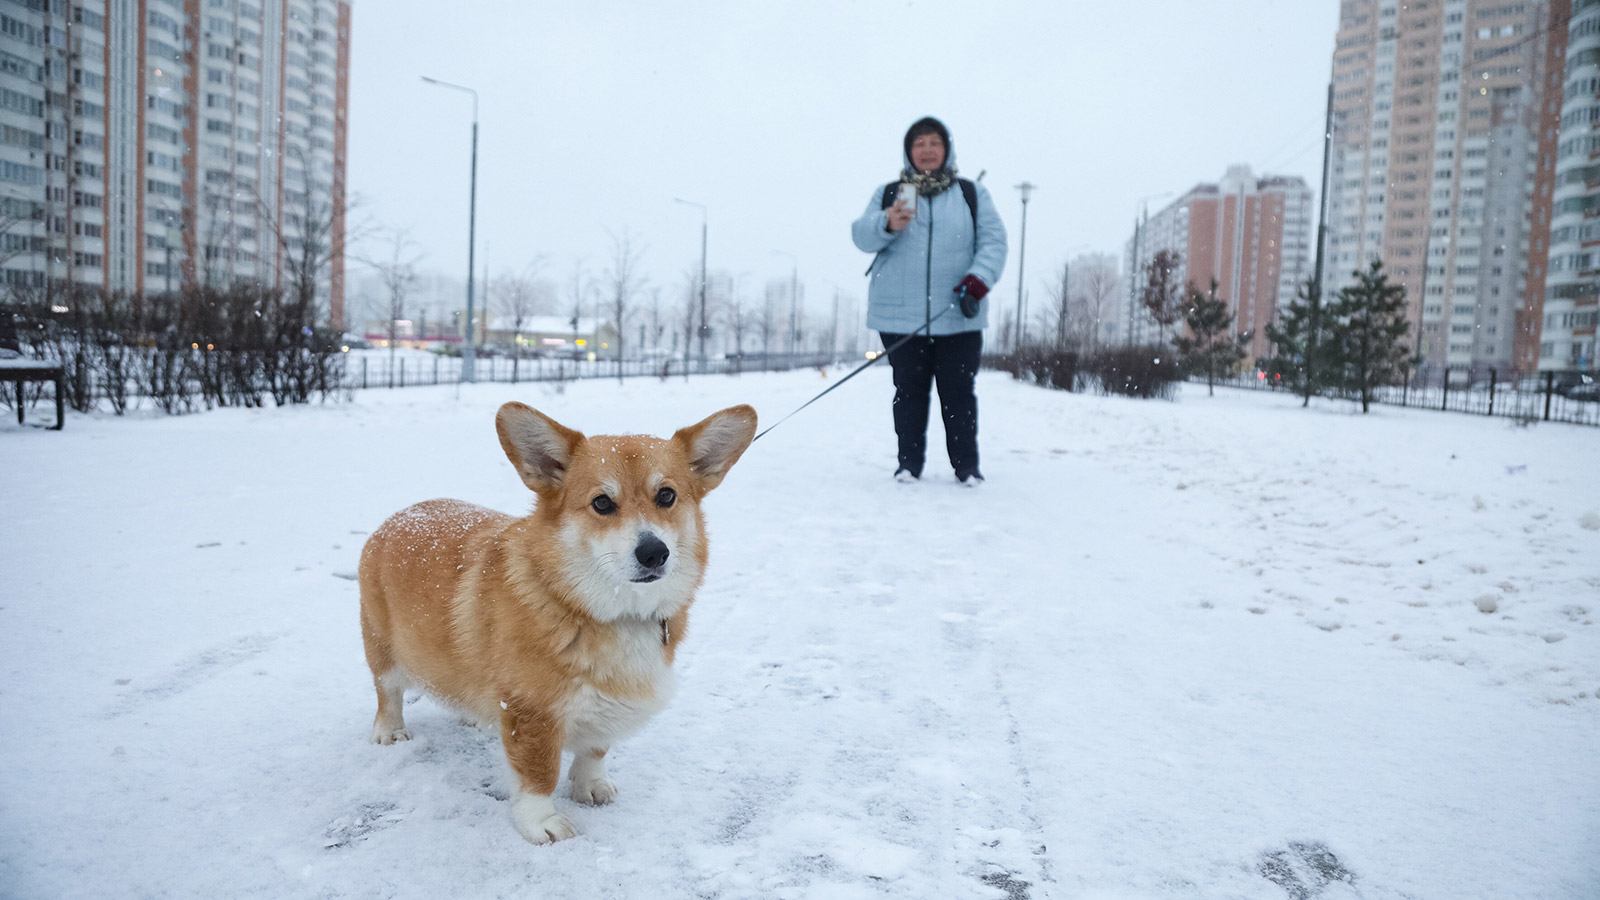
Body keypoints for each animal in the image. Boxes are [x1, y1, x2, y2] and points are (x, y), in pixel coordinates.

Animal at [360, 398, 758, 839]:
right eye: (602, 503)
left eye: (667, 495)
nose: (654, 553)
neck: (603, 611)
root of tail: (402, 515)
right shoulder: (532, 715)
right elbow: (539, 775)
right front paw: (541, 824)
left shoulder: (606, 704)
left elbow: (595, 750)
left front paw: (590, 785)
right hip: (381, 648)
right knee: (388, 692)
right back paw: (389, 731)